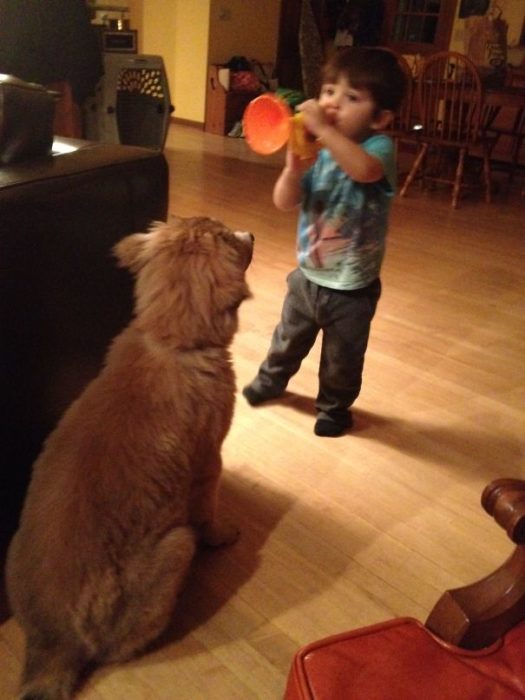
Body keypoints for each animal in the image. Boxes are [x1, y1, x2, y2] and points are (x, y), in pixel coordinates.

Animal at [5, 216, 254, 696]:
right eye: (228, 235)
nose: (251, 233)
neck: (171, 342)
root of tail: (52, 643)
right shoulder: (208, 464)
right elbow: (210, 514)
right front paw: (225, 535)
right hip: (178, 544)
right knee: (116, 651)